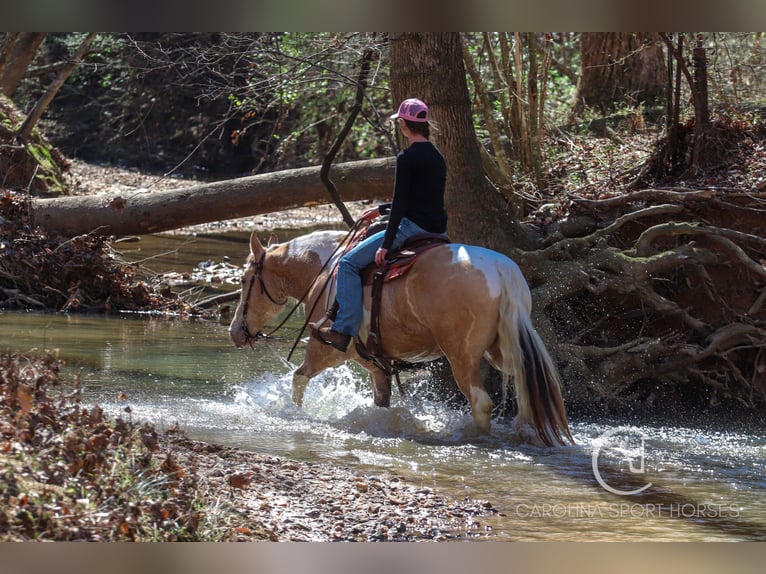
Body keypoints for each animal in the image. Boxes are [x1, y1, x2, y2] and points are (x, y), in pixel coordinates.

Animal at [231, 227, 572, 448]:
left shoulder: (326, 350)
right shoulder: (376, 365)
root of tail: (502, 270)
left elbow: (299, 379)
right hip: (501, 349)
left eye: (245, 280)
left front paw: (295, 415)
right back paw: (524, 431)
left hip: (462, 357)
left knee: (481, 403)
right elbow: (381, 404)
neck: (325, 273)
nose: (236, 332)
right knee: (528, 382)